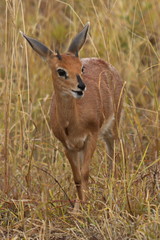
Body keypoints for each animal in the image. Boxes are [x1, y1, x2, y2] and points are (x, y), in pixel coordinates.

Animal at [21, 22, 124, 210]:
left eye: (81, 67)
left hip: (112, 127)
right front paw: (78, 208)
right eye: (61, 71)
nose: (81, 87)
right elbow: (76, 178)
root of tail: (107, 65)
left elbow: (85, 173)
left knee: (113, 156)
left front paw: (86, 206)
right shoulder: (67, 146)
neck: (72, 123)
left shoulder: (91, 137)